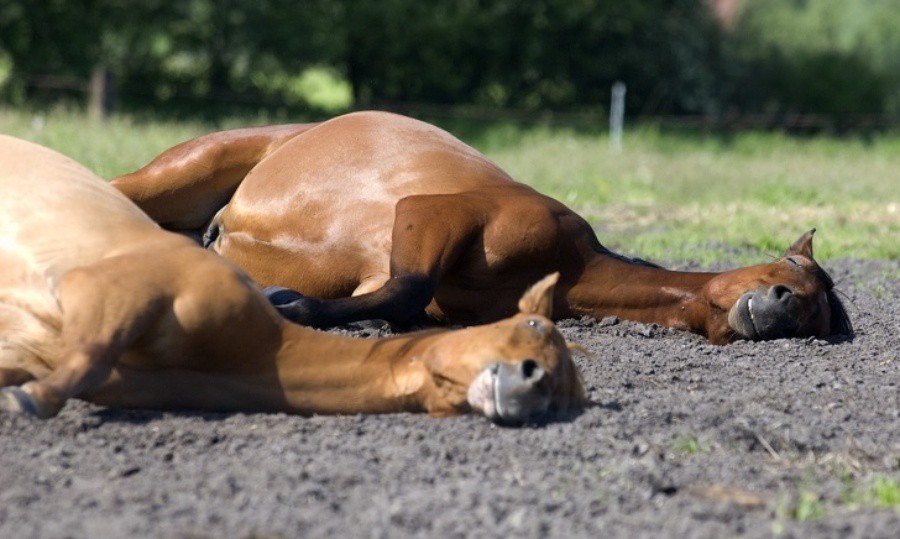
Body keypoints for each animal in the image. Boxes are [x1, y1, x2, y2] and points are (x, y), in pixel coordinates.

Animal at [112, 110, 852, 346]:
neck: (573, 266)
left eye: (817, 316)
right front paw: (291, 305)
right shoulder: (434, 212)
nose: (784, 308)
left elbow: (399, 301)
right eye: (794, 271)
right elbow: (408, 287)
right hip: (179, 170)